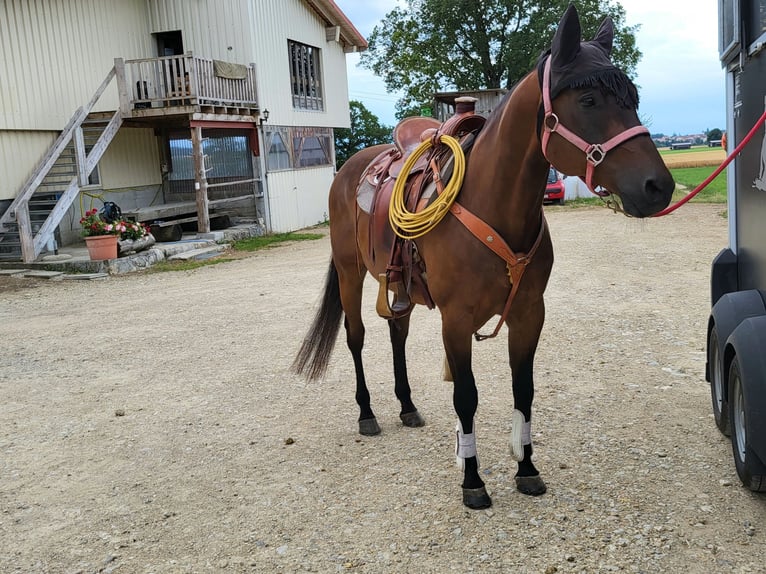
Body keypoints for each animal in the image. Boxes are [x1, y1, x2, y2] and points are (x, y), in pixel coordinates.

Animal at [292, 5, 675, 509]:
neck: (491, 207)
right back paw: (368, 413)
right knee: (356, 339)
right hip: (350, 274)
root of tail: (348, 170)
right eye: (589, 100)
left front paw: (527, 468)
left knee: (397, 334)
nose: (658, 187)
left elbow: (523, 390)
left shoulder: (530, 314)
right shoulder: (456, 320)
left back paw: (407, 405)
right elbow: (466, 398)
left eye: (632, 97)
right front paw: (472, 479)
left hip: (398, 287)